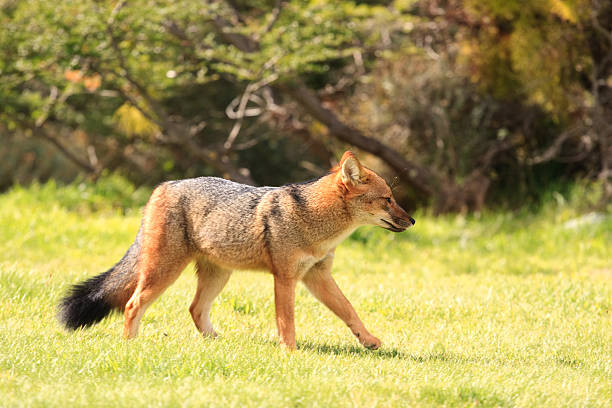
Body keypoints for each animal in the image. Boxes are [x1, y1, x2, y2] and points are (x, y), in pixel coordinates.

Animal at [58, 151, 416, 350]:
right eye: (387, 200)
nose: (412, 220)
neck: (314, 221)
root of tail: (165, 185)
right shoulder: (285, 277)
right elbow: (286, 320)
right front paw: (290, 352)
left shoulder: (317, 276)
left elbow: (349, 311)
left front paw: (368, 340)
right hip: (164, 272)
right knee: (133, 304)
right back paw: (130, 346)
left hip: (218, 276)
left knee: (194, 308)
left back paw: (216, 343)